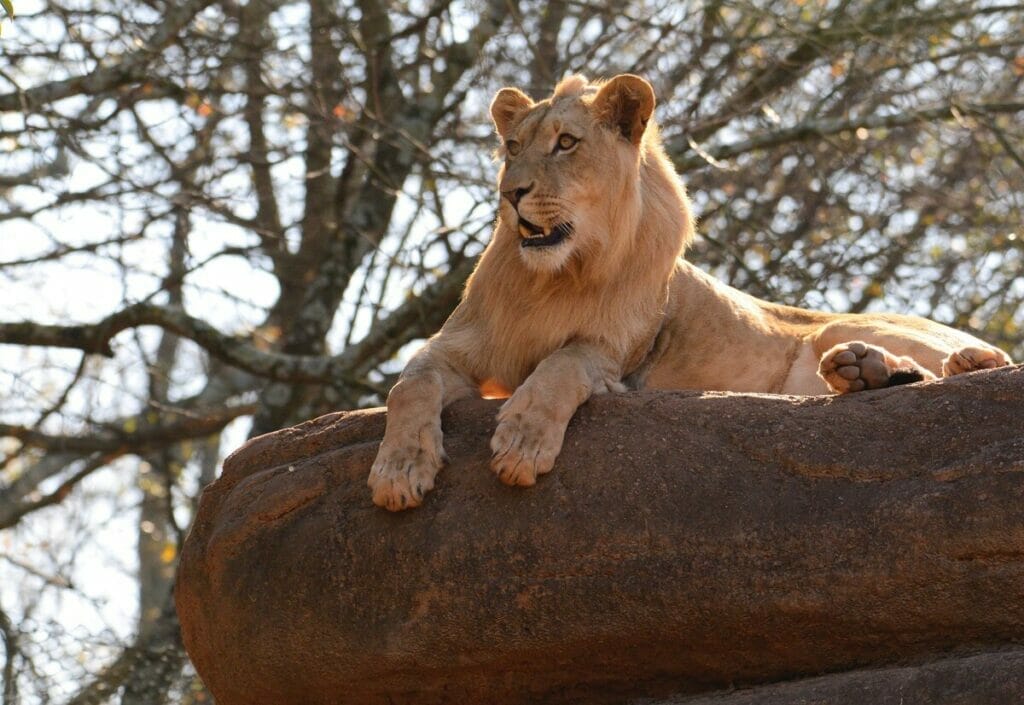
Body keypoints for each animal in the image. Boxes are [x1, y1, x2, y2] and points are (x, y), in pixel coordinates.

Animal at [364, 72, 1011, 512]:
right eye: (513, 147)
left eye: (566, 143)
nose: (511, 192)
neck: (554, 277)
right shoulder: (458, 346)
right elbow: (409, 384)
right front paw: (399, 470)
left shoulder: (614, 355)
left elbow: (561, 365)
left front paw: (522, 442)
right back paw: (864, 374)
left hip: (840, 323)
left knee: (993, 360)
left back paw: (951, 360)